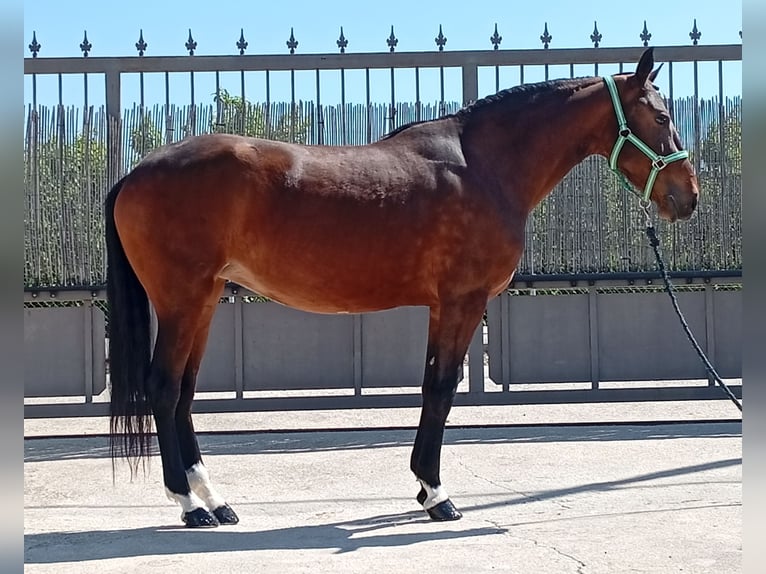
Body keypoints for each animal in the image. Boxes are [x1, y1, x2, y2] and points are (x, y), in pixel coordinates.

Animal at [106, 47, 698, 528]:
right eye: (661, 115)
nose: (687, 196)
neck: (484, 167)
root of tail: (137, 172)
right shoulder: (463, 302)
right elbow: (442, 390)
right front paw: (437, 494)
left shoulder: (442, 307)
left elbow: (431, 385)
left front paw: (423, 485)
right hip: (182, 301)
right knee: (163, 387)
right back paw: (189, 506)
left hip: (203, 301)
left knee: (183, 392)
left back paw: (215, 500)